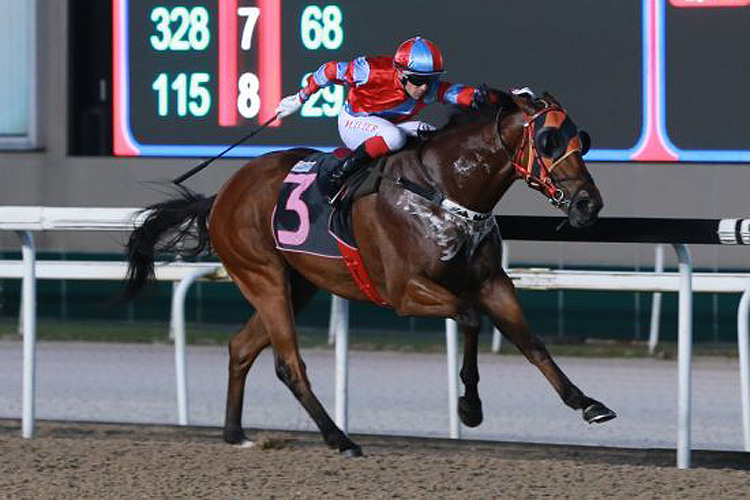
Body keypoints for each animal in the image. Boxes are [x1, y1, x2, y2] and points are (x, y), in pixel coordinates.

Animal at [123, 90, 616, 458]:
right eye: (549, 141)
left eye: (583, 139)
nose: (588, 204)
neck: (443, 187)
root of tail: (222, 195)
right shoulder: (405, 291)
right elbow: (471, 318)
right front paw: (470, 407)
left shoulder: (492, 281)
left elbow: (532, 343)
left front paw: (586, 403)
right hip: (263, 277)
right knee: (289, 363)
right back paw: (338, 438)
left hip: (297, 283)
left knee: (242, 347)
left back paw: (234, 433)